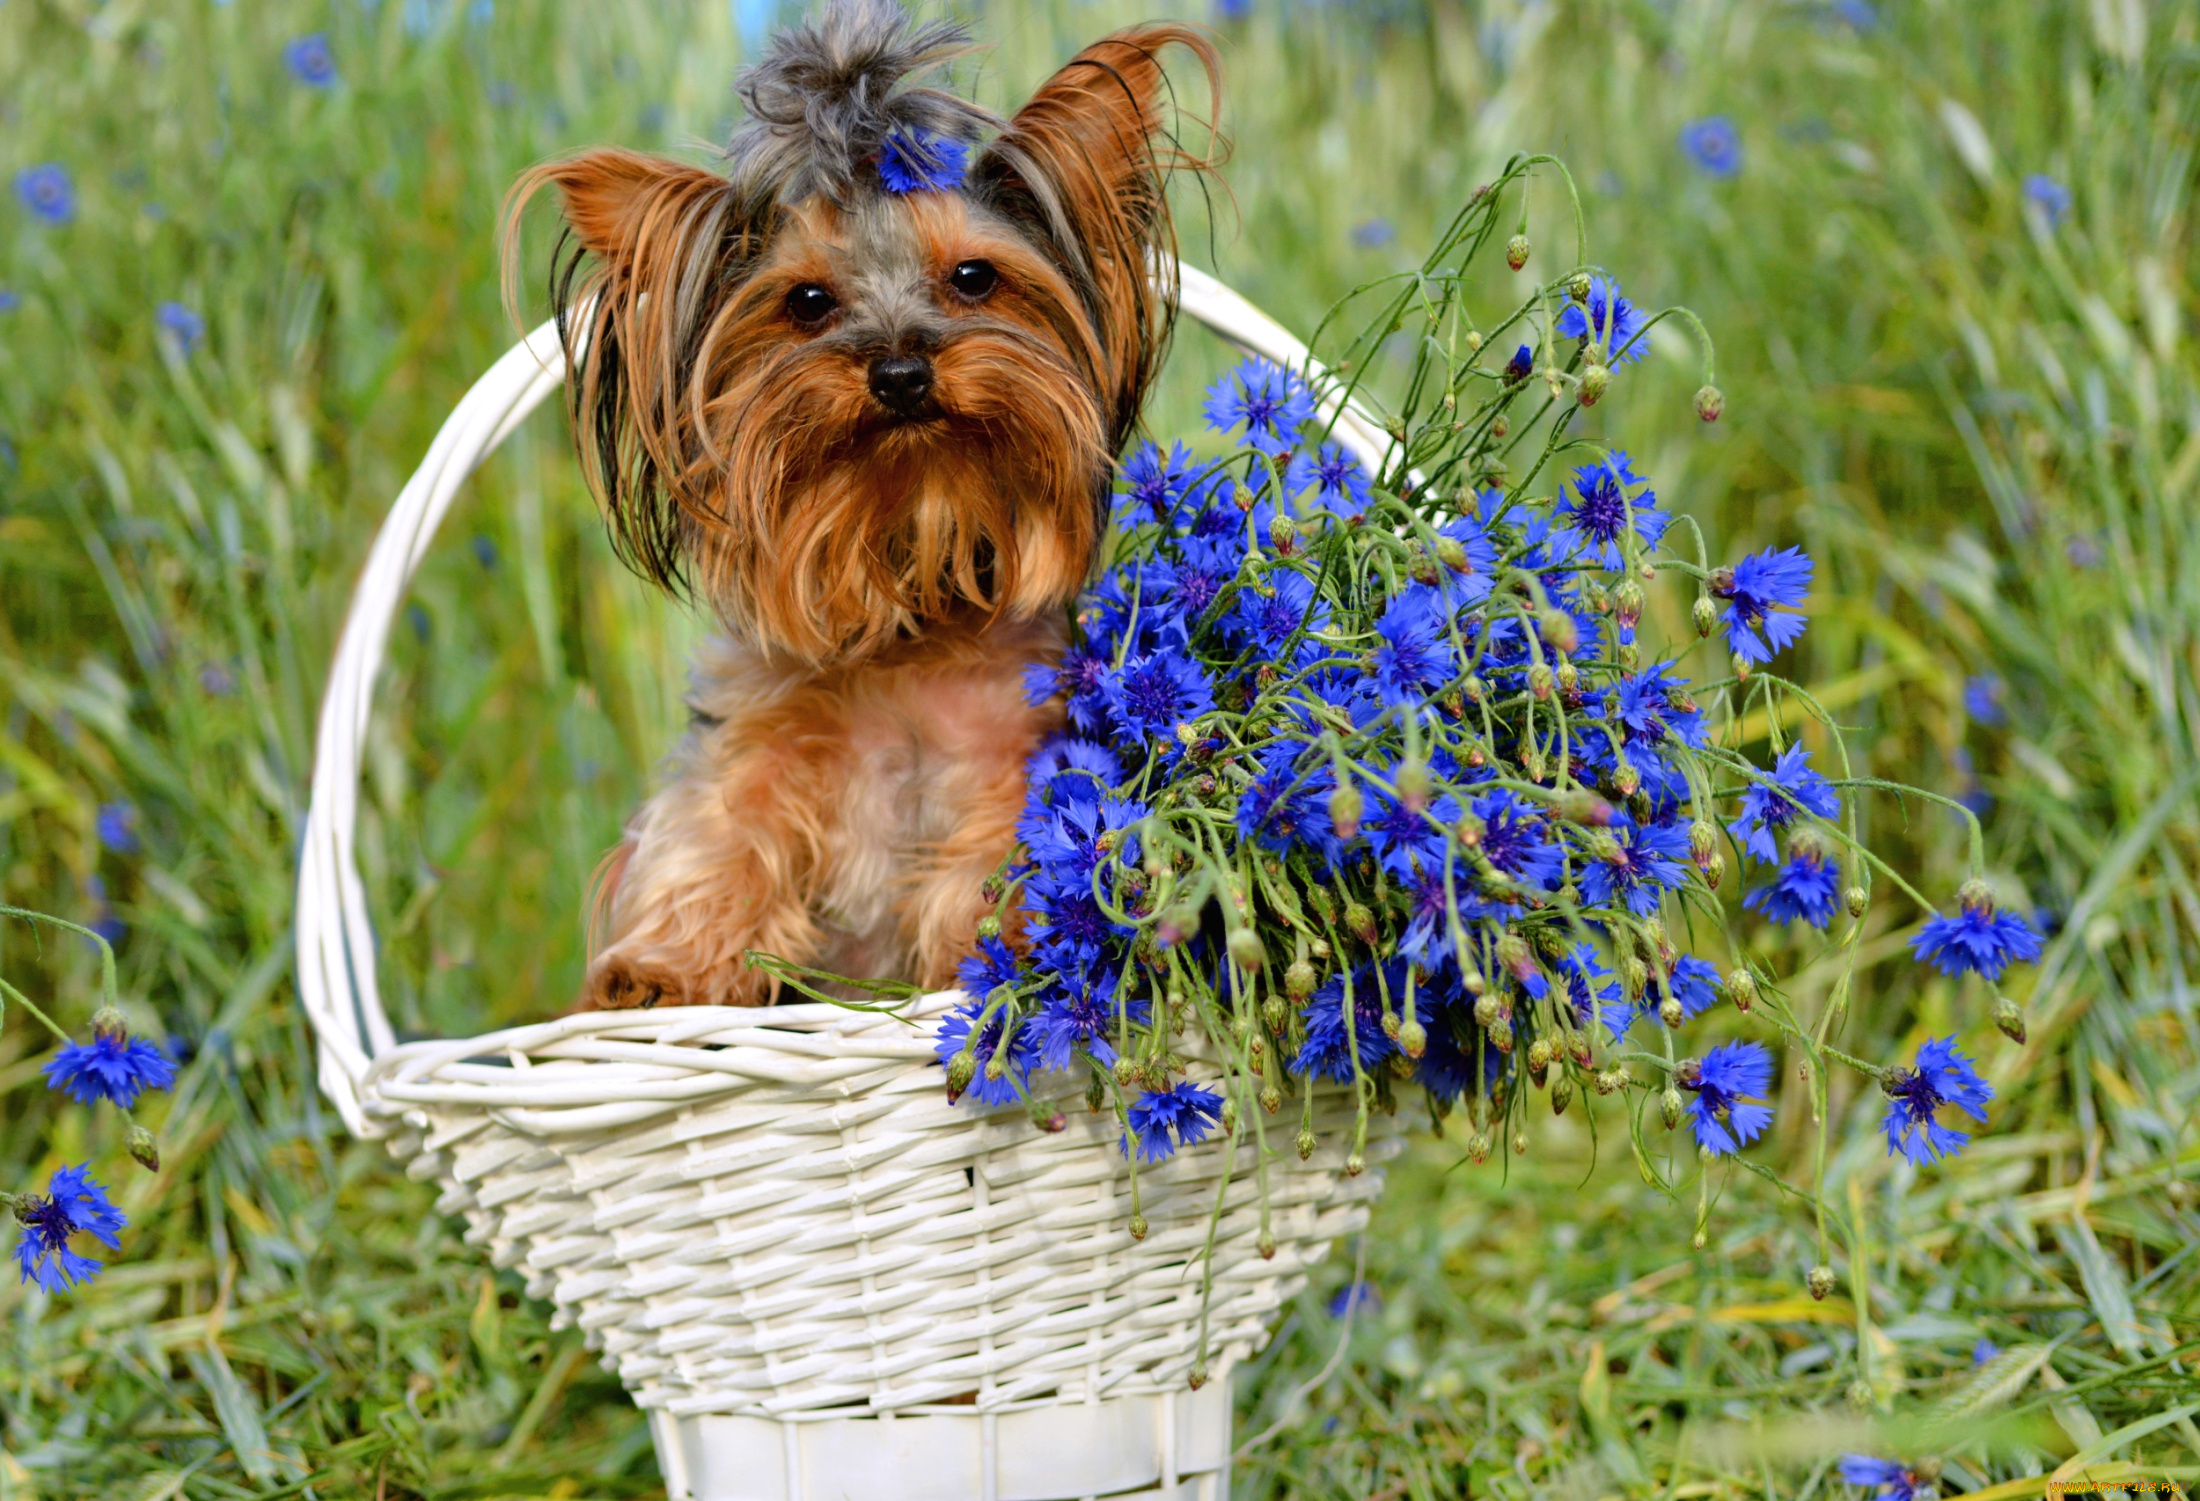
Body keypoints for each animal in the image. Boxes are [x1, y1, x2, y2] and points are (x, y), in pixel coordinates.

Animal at [506, 5, 1223, 1003]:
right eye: (807, 300)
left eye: (974, 277)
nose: (900, 371)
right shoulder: (752, 732)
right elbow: (716, 830)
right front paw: (660, 968)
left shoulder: (1014, 749)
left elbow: (997, 860)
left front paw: (984, 958)